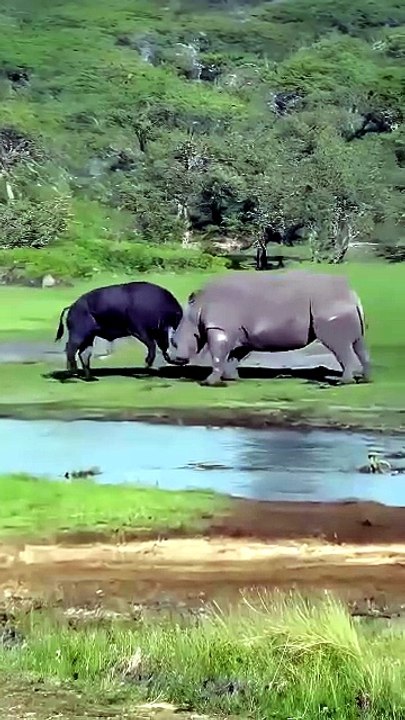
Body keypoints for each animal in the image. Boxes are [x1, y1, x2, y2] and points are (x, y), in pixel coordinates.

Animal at [168, 270, 370, 386]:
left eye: (174, 342)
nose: (172, 358)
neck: (196, 311)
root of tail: (353, 294)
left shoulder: (218, 327)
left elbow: (218, 354)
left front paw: (208, 382)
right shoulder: (242, 331)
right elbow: (234, 355)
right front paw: (232, 378)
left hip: (329, 307)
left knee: (339, 345)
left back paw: (344, 382)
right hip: (341, 306)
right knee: (358, 343)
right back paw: (365, 379)